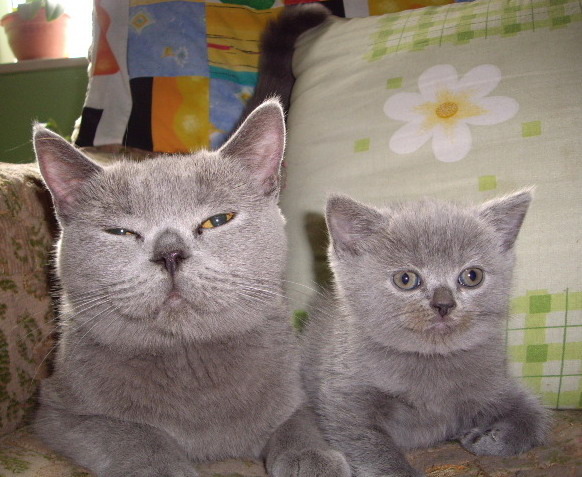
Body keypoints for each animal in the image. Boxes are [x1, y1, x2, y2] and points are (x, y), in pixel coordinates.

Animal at [34, 98, 352, 474]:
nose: (170, 253)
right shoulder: (58, 412)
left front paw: (313, 458)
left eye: (218, 220)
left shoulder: (296, 392)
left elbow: (299, 420)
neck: (188, 357)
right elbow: (130, 432)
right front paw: (163, 467)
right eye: (120, 232)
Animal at [304, 191, 556, 476]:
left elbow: (533, 415)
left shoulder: (495, 383)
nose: (444, 304)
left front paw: (489, 439)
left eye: (472, 276)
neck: (431, 360)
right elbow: (368, 442)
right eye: (405, 279)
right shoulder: (344, 395)